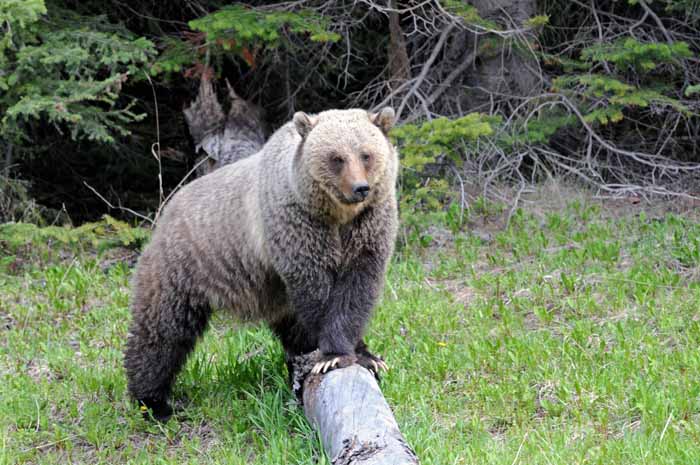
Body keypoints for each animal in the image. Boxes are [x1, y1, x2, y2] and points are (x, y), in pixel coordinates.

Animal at [124, 107, 400, 418]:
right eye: (336, 157)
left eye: (366, 154)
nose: (359, 188)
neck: (336, 216)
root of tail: (165, 211)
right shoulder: (297, 224)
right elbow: (315, 288)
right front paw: (333, 355)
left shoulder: (368, 226)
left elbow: (359, 287)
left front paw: (367, 355)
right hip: (183, 266)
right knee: (162, 331)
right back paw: (153, 402)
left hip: (270, 293)